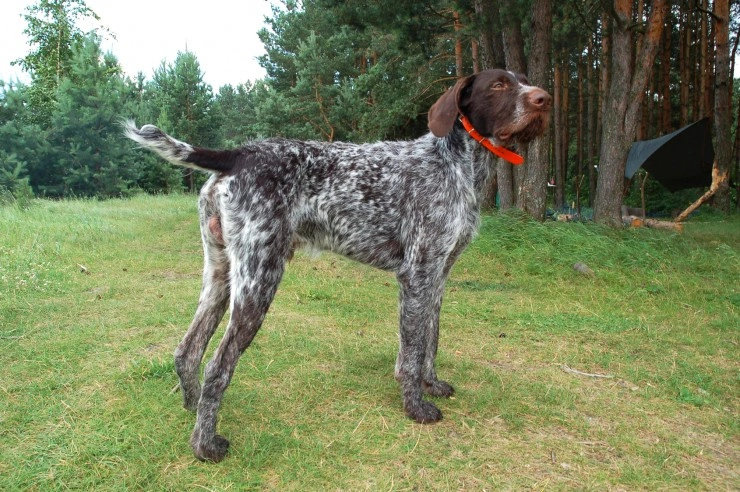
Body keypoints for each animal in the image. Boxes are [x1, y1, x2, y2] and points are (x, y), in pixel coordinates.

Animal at [123, 69, 548, 462]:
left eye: (523, 80)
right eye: (498, 85)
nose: (544, 98)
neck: (456, 164)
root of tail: (240, 153)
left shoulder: (439, 275)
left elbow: (431, 338)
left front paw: (432, 383)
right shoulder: (417, 274)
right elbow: (411, 350)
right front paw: (415, 406)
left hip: (222, 274)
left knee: (187, 350)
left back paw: (193, 412)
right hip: (260, 279)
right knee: (217, 365)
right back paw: (205, 445)